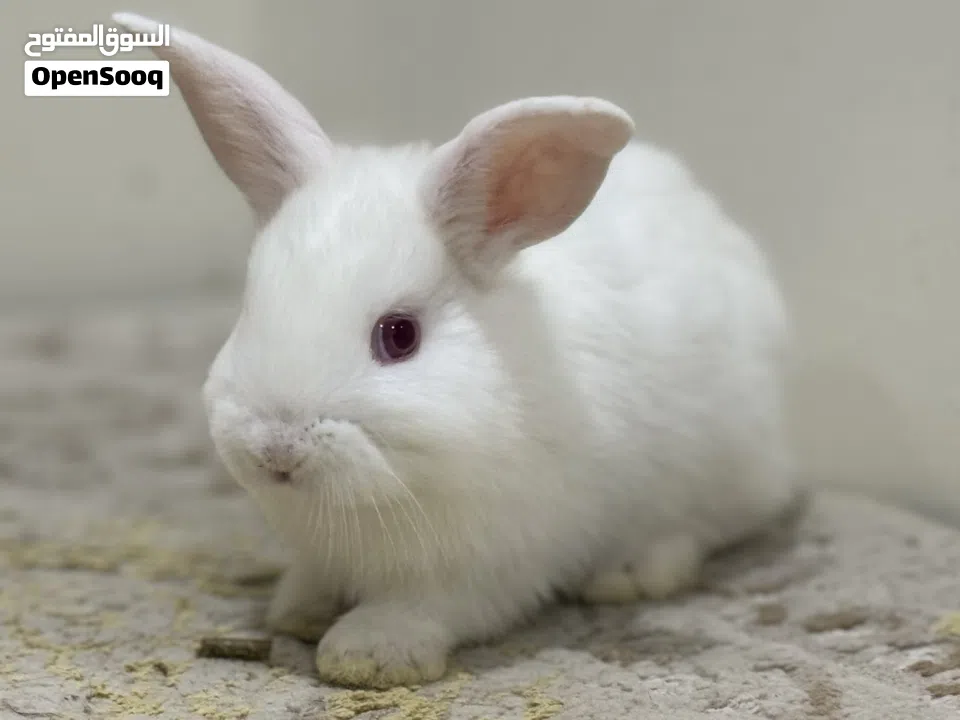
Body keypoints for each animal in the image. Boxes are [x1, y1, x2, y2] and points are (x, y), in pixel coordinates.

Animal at [114, 12, 801, 690]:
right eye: (250, 308)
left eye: (399, 336)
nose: (276, 451)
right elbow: (312, 580)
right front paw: (297, 612)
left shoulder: (491, 563)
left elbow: (427, 608)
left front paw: (368, 654)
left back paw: (630, 574)